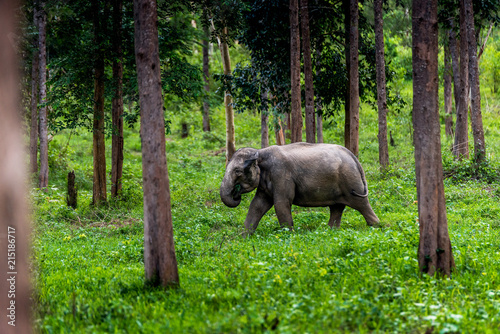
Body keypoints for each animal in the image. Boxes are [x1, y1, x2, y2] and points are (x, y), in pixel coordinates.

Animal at [219, 142, 378, 234]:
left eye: (237, 171)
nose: (236, 193)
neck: (260, 152)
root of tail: (352, 156)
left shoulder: (281, 174)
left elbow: (281, 203)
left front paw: (288, 235)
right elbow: (257, 205)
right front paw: (244, 236)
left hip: (351, 180)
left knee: (361, 203)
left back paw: (376, 226)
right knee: (337, 207)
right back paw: (331, 231)